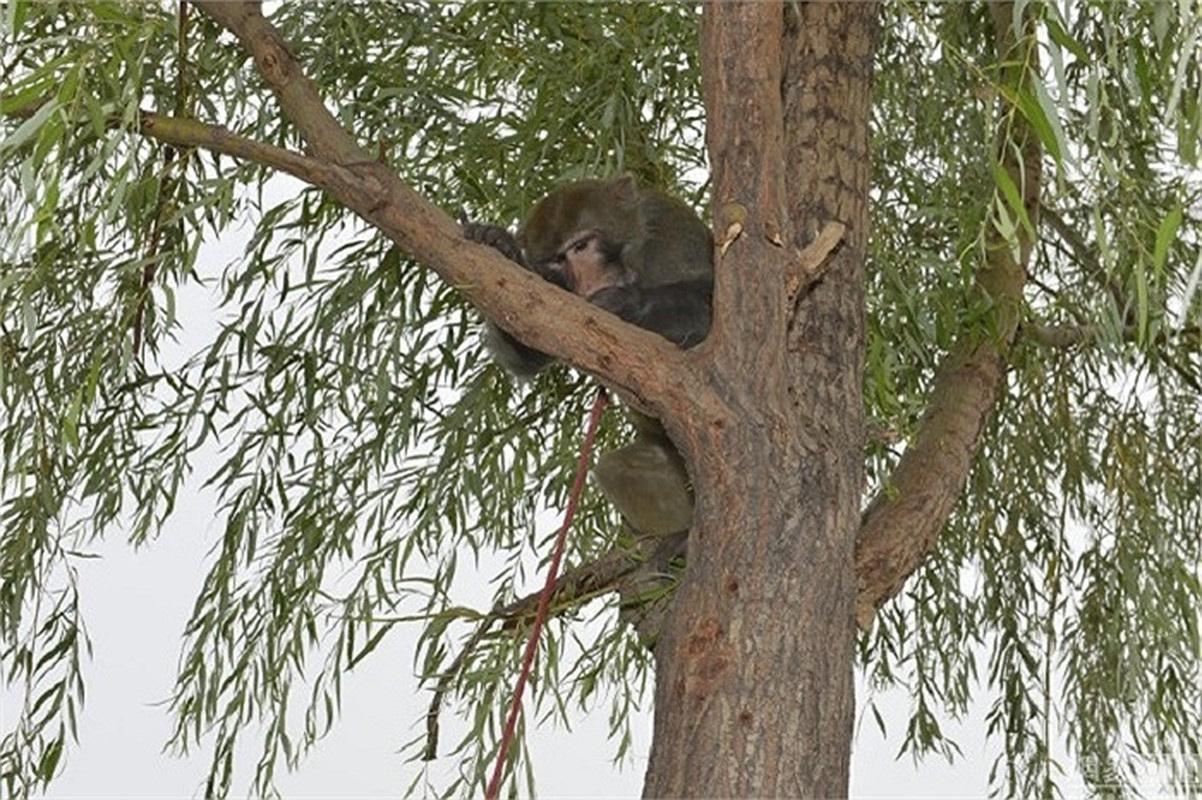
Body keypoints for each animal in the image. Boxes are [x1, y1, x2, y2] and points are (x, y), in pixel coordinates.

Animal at [461, 177, 711, 533]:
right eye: (557, 259)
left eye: (581, 246)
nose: (585, 281)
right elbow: (530, 336)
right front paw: (501, 248)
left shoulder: (671, 230)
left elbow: (709, 308)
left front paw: (623, 303)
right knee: (614, 469)